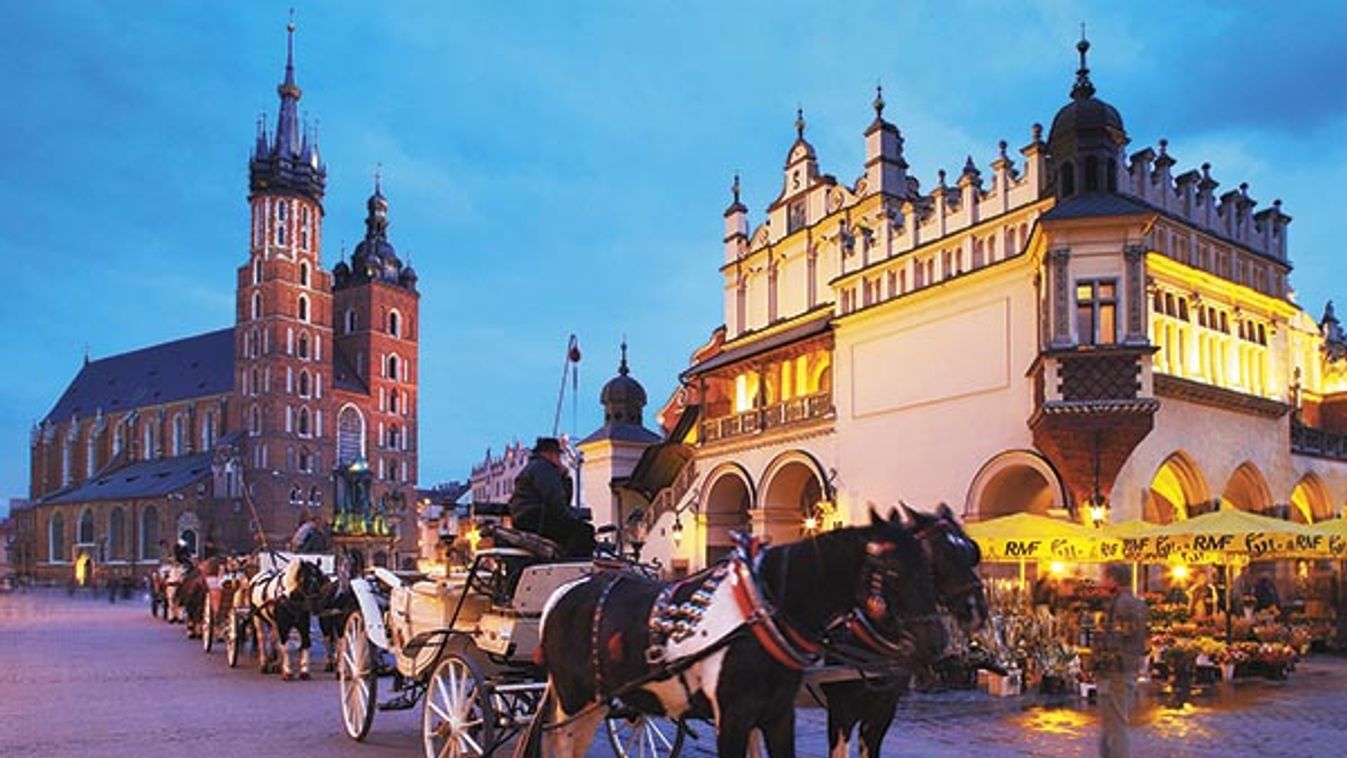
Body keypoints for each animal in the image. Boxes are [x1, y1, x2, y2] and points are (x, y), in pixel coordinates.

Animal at [530, 508, 942, 758]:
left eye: (930, 563)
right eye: (893, 570)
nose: (938, 640)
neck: (763, 613)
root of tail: (564, 591)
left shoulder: (779, 715)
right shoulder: (734, 716)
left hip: (594, 701)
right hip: (575, 700)